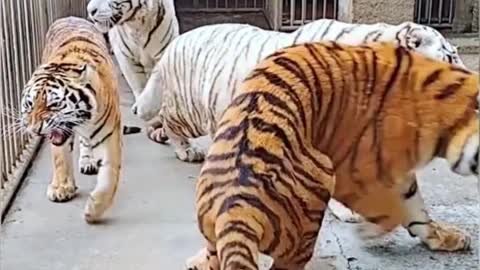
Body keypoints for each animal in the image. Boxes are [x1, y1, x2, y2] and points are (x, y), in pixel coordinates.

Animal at [132, 19, 464, 226]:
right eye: (450, 58)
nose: (473, 94)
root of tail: (176, 42)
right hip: (190, 110)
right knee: (170, 120)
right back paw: (186, 149)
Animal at [186, 40, 478, 270]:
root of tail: (237, 213)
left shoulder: (400, 176)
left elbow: (416, 210)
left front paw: (448, 238)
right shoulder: (356, 174)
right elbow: (394, 211)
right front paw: (366, 232)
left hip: (213, 235)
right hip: (323, 179)